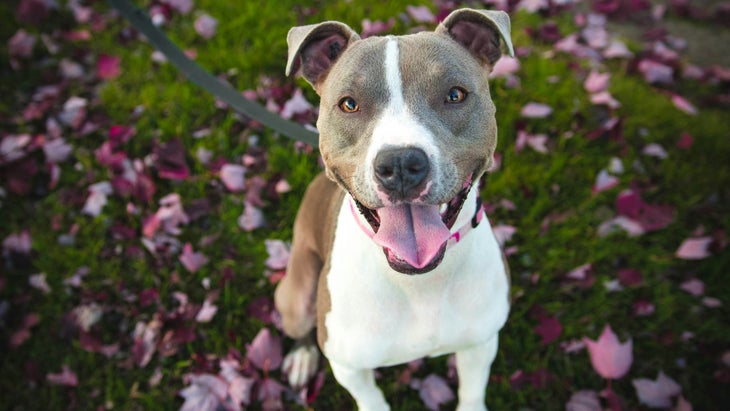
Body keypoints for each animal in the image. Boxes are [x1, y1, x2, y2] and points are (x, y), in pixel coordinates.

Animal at [272, 7, 512, 411]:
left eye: (455, 95)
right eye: (349, 104)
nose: (400, 163)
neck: (419, 280)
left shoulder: (481, 343)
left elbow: (471, 391)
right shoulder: (349, 366)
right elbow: (371, 399)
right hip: (296, 294)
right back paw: (303, 357)